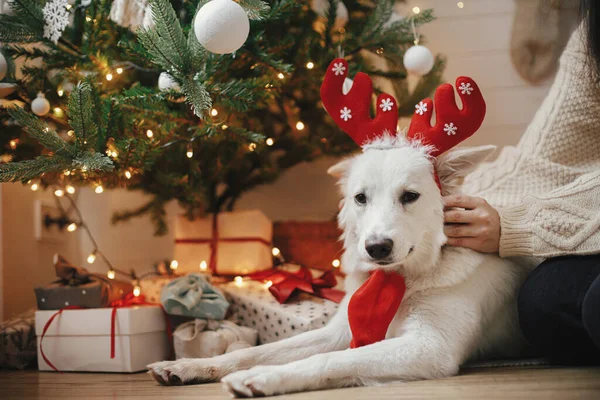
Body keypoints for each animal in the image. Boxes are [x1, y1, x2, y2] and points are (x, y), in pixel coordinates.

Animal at [148, 135, 532, 396]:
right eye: (360, 198)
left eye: (410, 196)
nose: (376, 248)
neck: (403, 279)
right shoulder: (337, 332)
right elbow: (256, 351)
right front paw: (190, 365)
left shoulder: (430, 347)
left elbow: (331, 360)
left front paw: (262, 377)